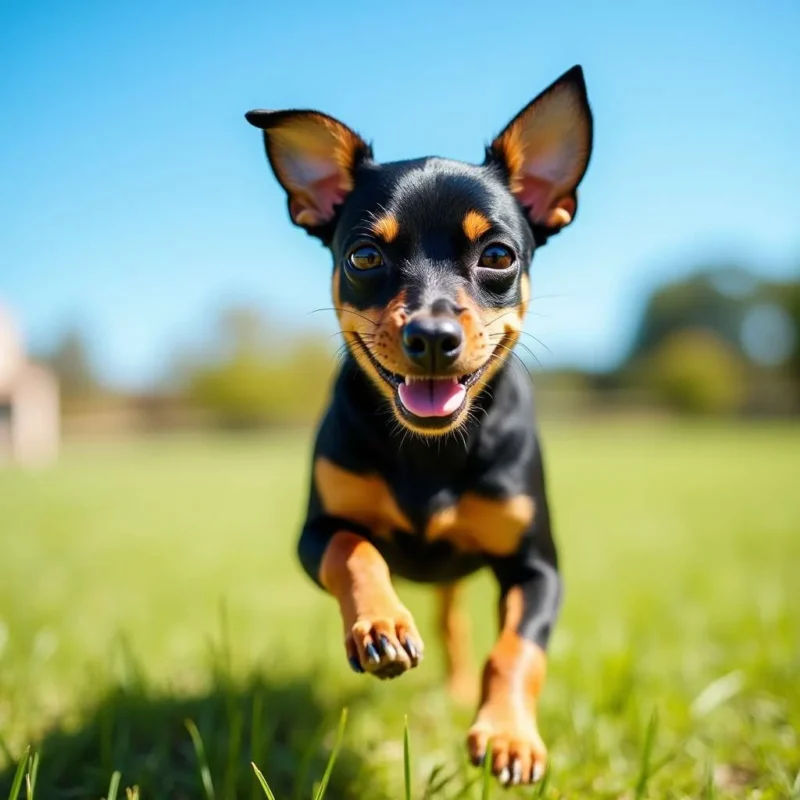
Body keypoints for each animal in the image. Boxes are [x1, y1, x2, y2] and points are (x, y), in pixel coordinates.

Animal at [247, 64, 592, 788]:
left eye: (498, 255)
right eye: (364, 257)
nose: (431, 336)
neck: (429, 454)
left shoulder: (538, 569)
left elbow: (517, 650)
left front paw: (509, 734)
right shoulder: (315, 532)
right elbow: (355, 551)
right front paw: (379, 626)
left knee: (459, 624)